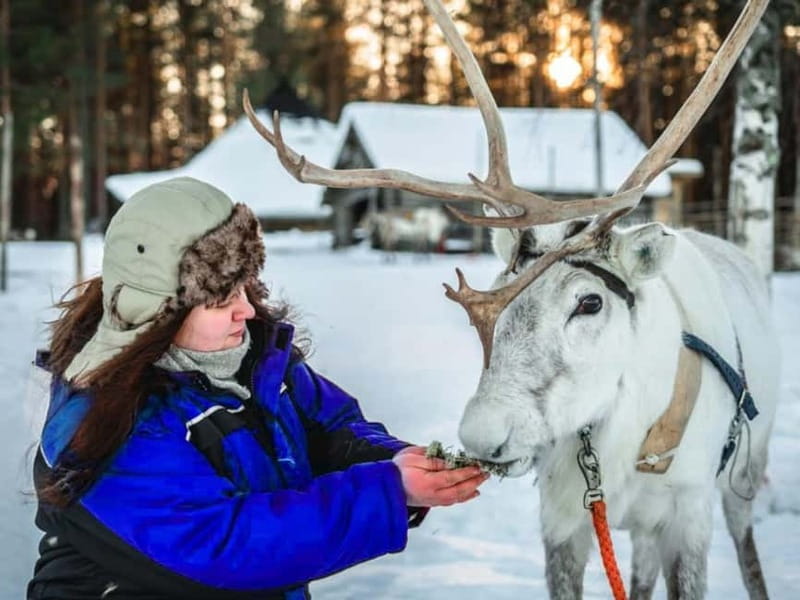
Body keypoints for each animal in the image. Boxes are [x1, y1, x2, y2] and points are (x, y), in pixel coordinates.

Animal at [242, 0, 777, 597]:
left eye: (590, 302)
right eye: (501, 295)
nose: (482, 435)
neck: (621, 436)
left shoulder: (687, 510)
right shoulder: (564, 513)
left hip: (742, 475)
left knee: (746, 549)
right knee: (640, 573)